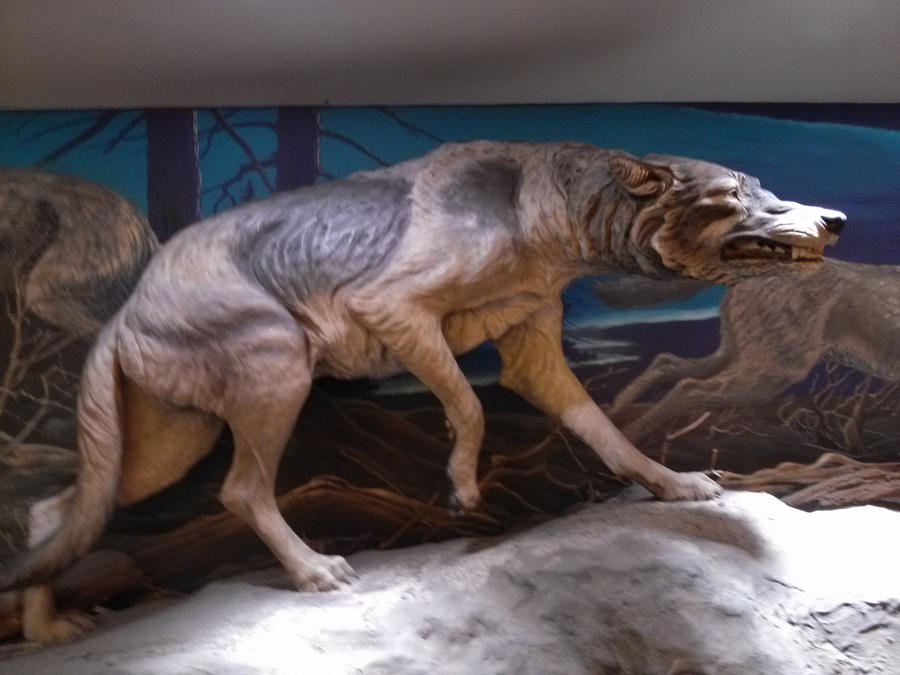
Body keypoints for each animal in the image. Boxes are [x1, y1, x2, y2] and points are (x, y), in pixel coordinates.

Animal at [0, 140, 845, 596]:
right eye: (733, 194)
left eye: (762, 186)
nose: (835, 218)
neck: (544, 211)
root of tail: (121, 313)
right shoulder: (394, 310)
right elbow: (467, 407)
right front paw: (464, 489)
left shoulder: (534, 352)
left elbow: (606, 429)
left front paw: (674, 485)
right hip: (277, 375)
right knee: (241, 490)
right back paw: (315, 572)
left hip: (170, 447)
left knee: (56, 511)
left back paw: (48, 624)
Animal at [607, 258, 899, 444]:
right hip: (773, 370)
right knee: (689, 387)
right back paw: (629, 440)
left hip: (738, 354)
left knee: (667, 363)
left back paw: (614, 418)